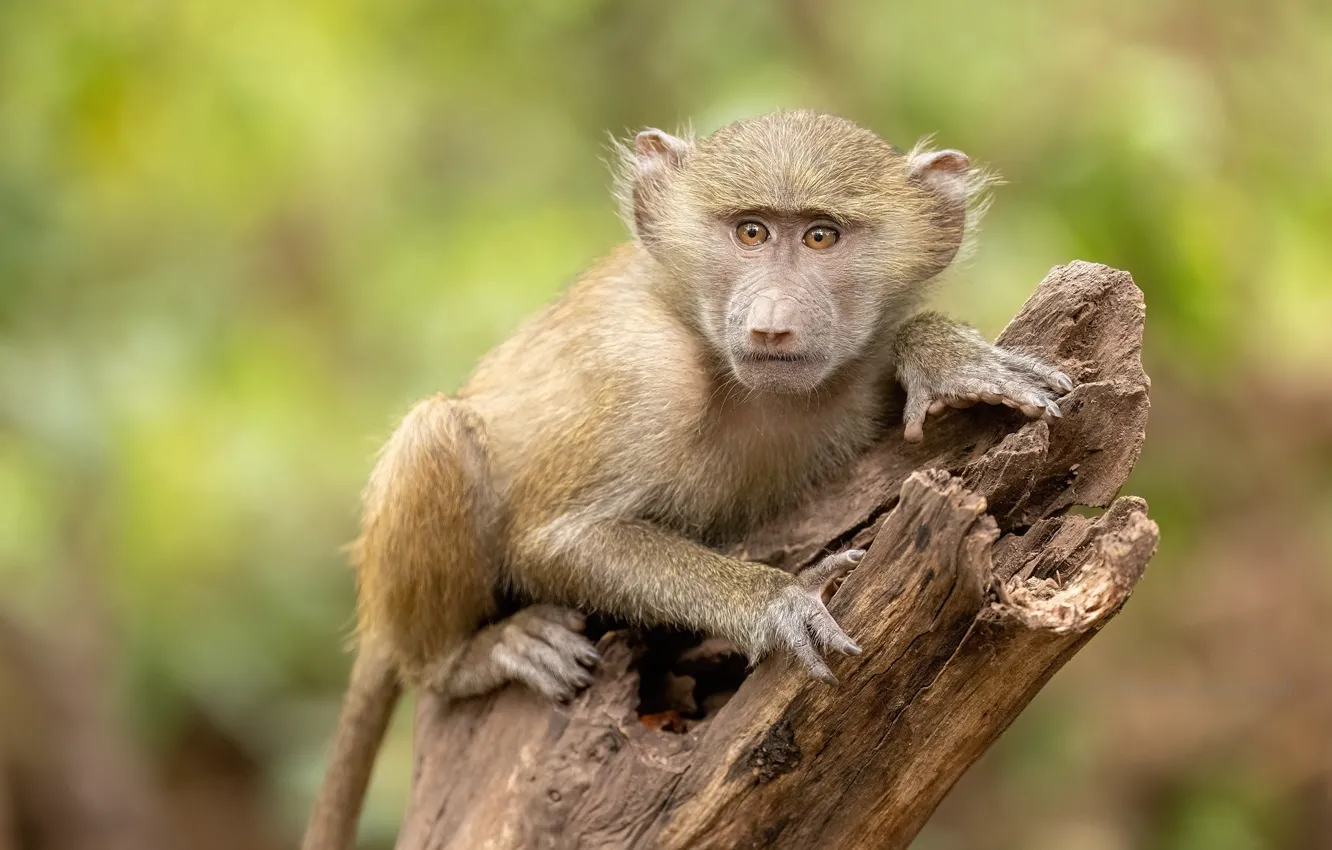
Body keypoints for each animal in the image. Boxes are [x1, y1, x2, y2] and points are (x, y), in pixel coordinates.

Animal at [302, 110, 1072, 850]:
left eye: (820, 236)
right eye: (752, 232)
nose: (771, 326)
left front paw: (944, 356)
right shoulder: (646, 376)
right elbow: (554, 542)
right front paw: (778, 600)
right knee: (436, 434)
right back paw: (468, 658)